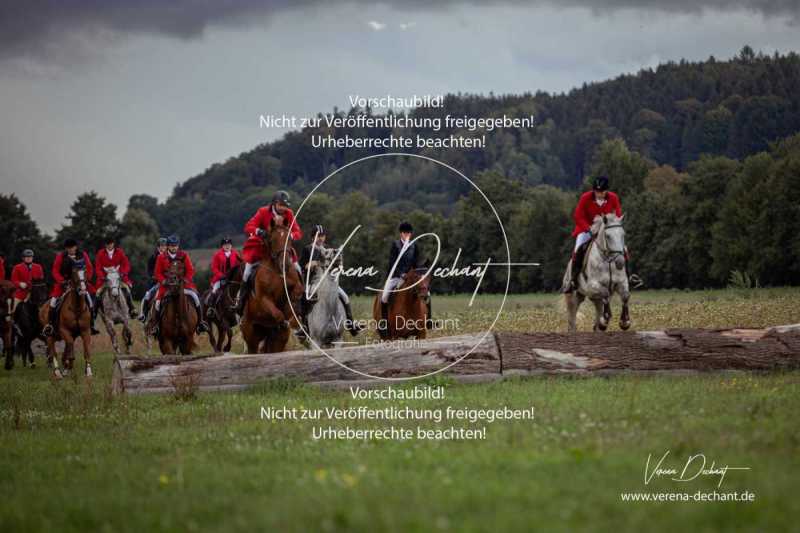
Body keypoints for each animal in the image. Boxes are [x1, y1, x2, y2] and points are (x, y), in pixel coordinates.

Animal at [239, 220, 304, 354]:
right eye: (273, 240)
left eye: (289, 239)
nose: (286, 264)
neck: (277, 269)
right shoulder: (264, 299)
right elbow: (278, 314)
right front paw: (283, 322)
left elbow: (296, 292)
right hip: (250, 333)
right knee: (253, 348)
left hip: (276, 340)